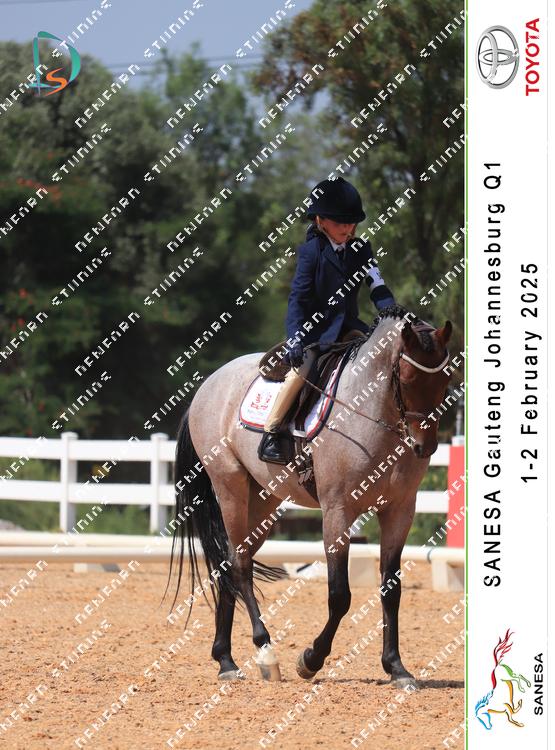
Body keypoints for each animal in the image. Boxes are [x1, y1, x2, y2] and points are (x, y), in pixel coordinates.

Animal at [168, 305, 453, 685]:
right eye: (406, 379)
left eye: (445, 380)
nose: (425, 446)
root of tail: (208, 384)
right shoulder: (338, 511)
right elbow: (340, 595)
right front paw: (311, 659)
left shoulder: (399, 511)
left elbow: (391, 590)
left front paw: (396, 667)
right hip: (230, 487)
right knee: (240, 565)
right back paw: (266, 652)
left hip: (263, 500)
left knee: (228, 561)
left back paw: (226, 660)